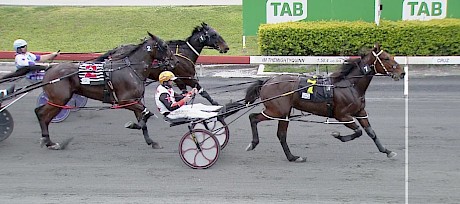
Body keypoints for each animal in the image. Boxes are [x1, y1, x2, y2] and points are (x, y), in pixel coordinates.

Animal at [35, 31, 176, 150]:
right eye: (165, 46)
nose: (175, 61)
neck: (131, 69)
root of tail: (49, 69)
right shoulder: (125, 101)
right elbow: (146, 114)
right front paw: (133, 125)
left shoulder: (135, 101)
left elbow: (144, 119)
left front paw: (151, 142)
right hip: (59, 99)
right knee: (41, 113)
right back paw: (48, 141)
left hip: (58, 100)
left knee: (42, 115)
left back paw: (49, 141)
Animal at [96, 22, 229, 105]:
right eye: (214, 34)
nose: (226, 47)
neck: (184, 54)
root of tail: (116, 49)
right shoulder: (188, 78)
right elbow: (203, 92)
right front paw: (215, 103)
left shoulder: (180, 80)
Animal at [246, 43, 404, 162]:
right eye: (386, 58)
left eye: (392, 57)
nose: (402, 73)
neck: (349, 85)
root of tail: (267, 81)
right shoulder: (342, 116)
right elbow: (358, 131)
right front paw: (338, 135)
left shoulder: (360, 112)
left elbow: (371, 132)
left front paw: (387, 151)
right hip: (276, 111)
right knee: (253, 117)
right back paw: (254, 143)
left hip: (283, 114)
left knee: (281, 134)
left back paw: (293, 157)